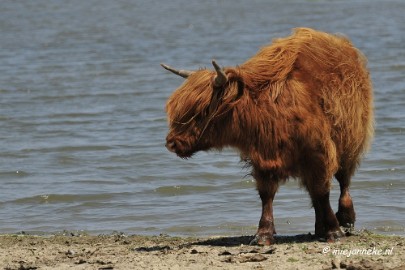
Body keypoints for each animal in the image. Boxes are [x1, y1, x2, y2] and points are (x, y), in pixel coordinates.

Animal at [160, 27, 372, 245]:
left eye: (202, 111)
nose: (171, 143)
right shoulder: (263, 159)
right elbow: (267, 195)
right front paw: (263, 234)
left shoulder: (319, 153)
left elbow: (322, 191)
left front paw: (334, 231)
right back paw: (319, 227)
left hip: (350, 142)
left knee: (343, 180)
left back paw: (346, 219)